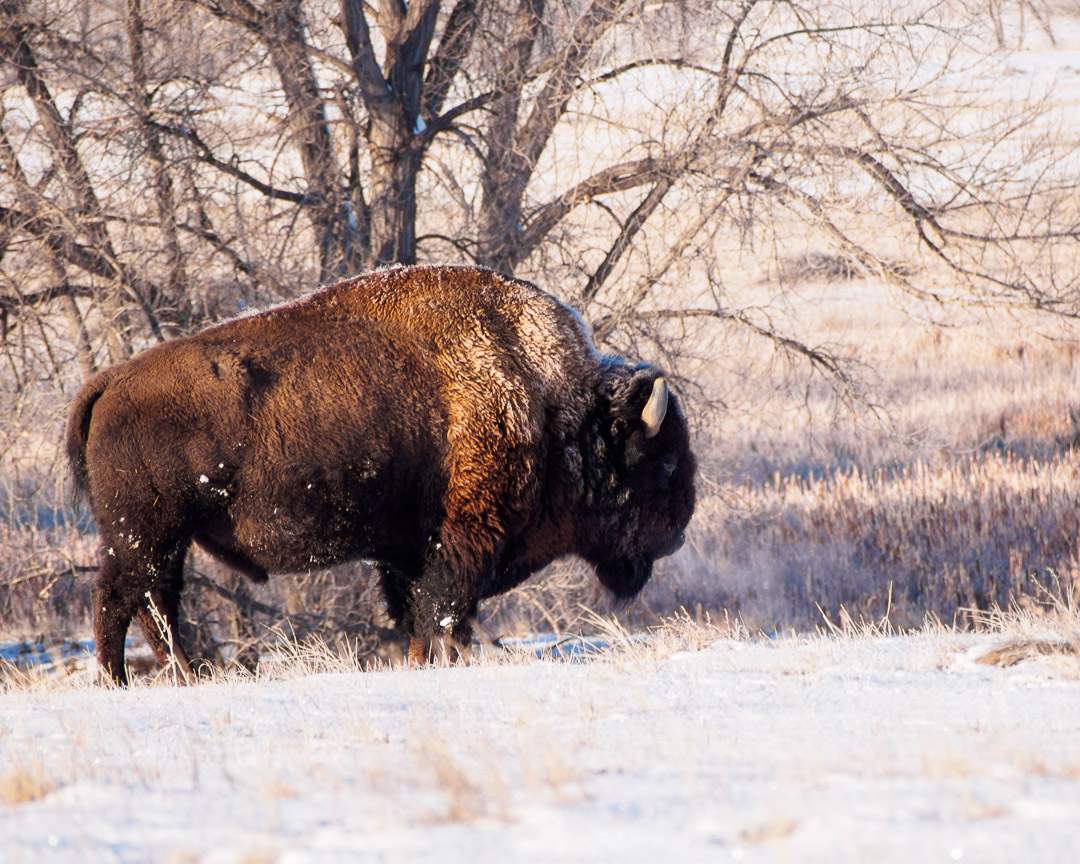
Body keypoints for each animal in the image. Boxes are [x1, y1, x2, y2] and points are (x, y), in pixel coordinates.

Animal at [67, 263, 695, 682]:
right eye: (663, 465)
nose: (679, 531)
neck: (549, 401)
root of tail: (110, 382)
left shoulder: (409, 551)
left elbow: (417, 614)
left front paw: (422, 663)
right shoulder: (464, 539)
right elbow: (444, 610)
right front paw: (448, 660)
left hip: (161, 542)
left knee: (151, 605)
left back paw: (175, 675)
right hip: (146, 536)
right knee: (121, 599)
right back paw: (126, 680)